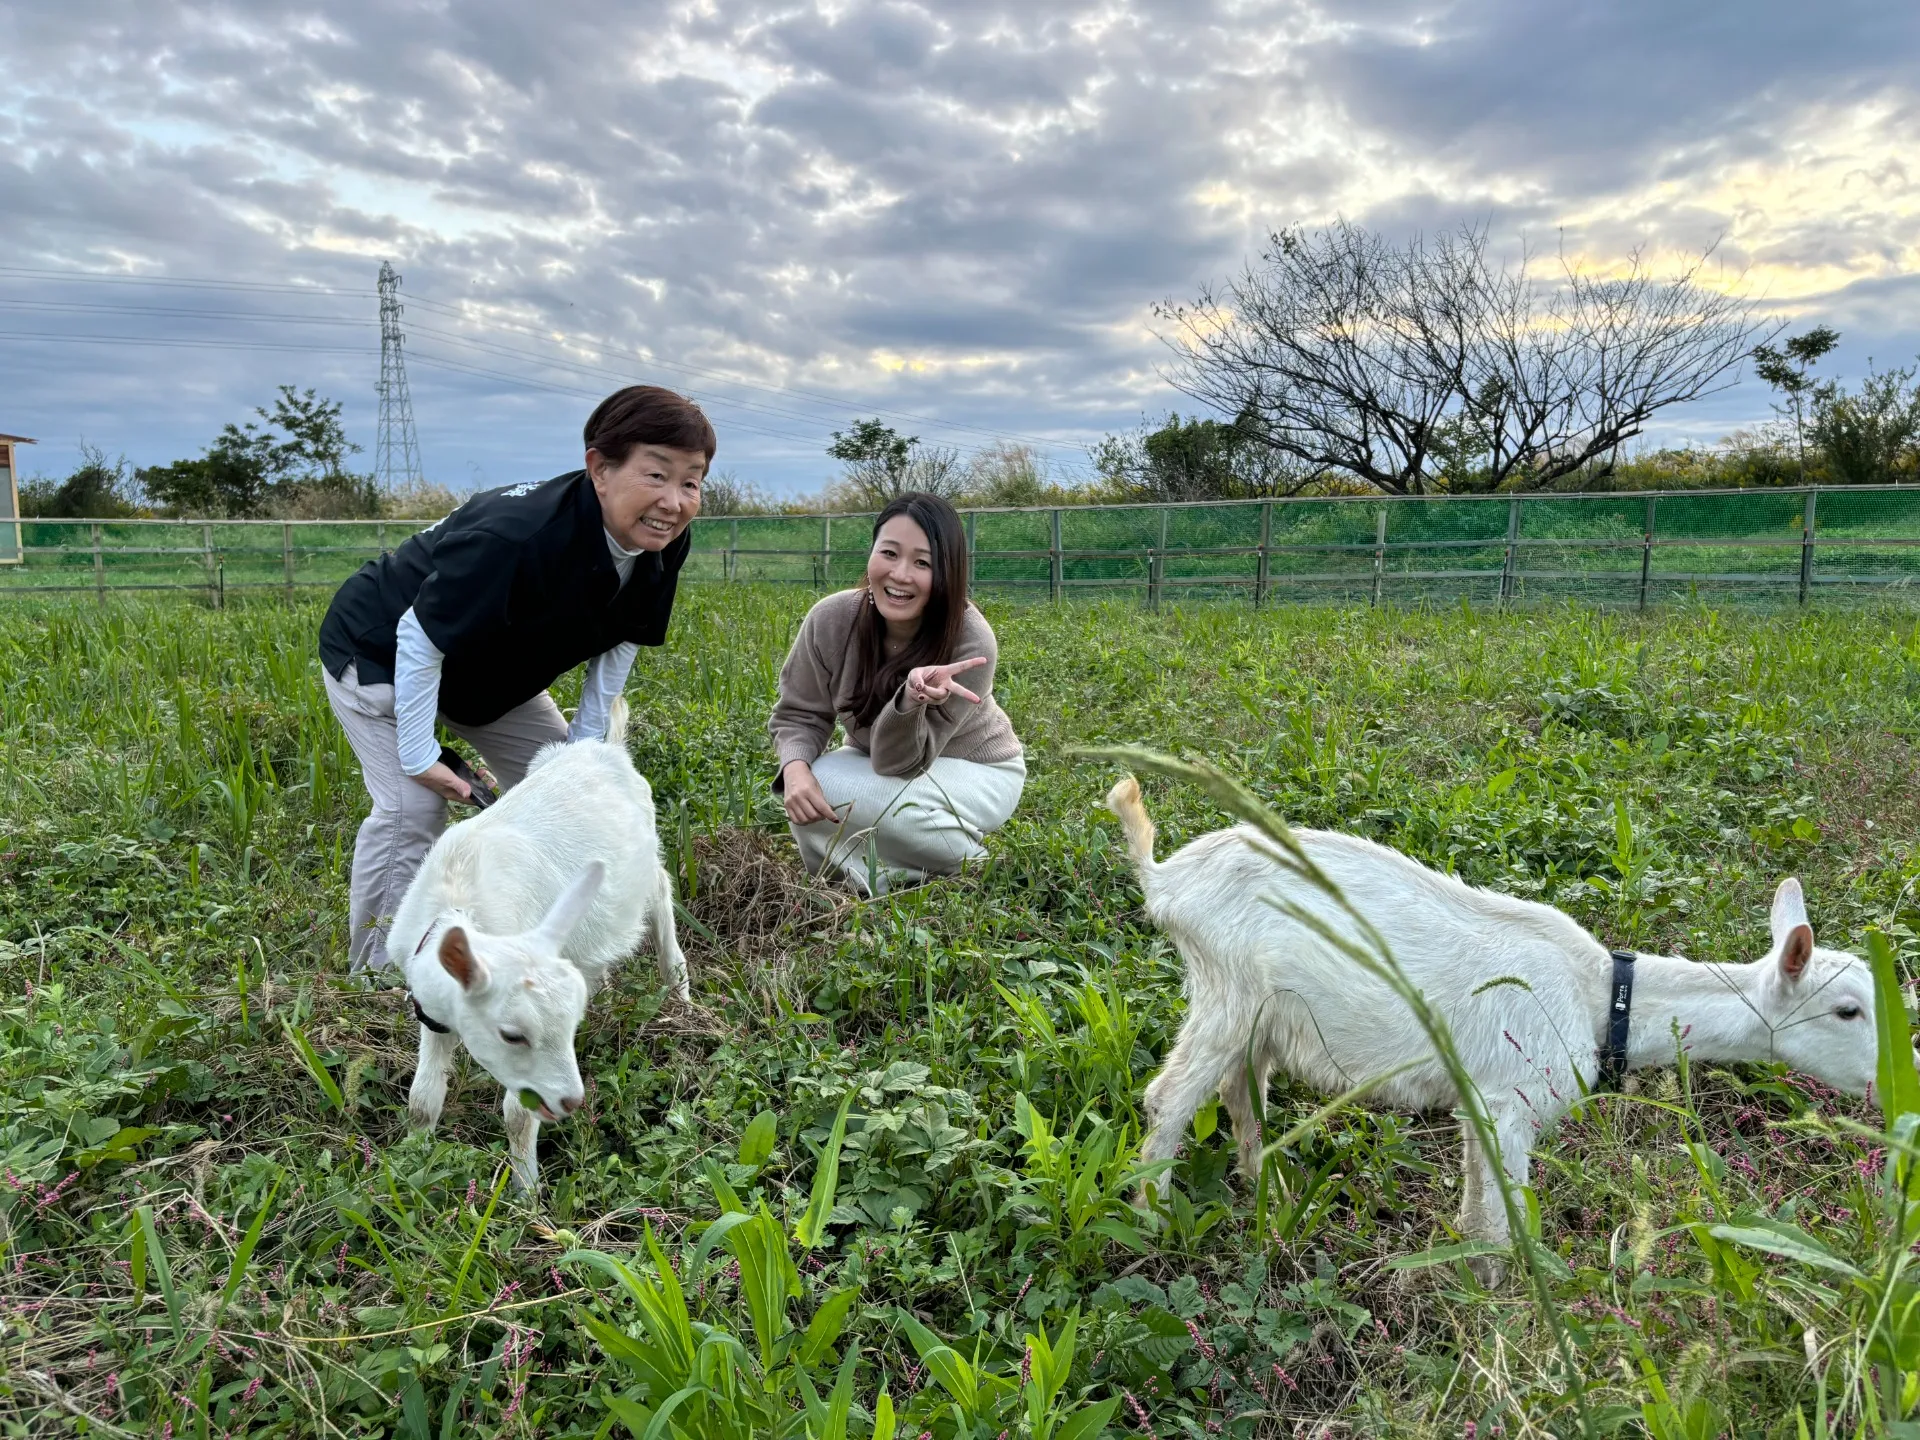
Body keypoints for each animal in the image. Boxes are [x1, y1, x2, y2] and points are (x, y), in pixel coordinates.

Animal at [391, 702, 691, 1198]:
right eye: (512, 1035)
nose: (571, 1100)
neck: (457, 899)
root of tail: (606, 748)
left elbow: (517, 1114)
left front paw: (526, 1194)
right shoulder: (433, 1012)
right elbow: (422, 1098)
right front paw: (411, 1166)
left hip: (646, 862)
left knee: (663, 896)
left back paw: (680, 995)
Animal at [1105, 771, 1881, 1259]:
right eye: (1848, 1011)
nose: (1888, 1082)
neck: (1601, 996)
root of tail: (1167, 881)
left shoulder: (1480, 1103)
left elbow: (1478, 1216)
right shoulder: (1513, 1101)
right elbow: (1504, 1228)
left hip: (1260, 1015)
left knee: (1243, 1088)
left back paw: (1269, 1190)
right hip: (1226, 990)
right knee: (1169, 1097)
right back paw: (1153, 1221)